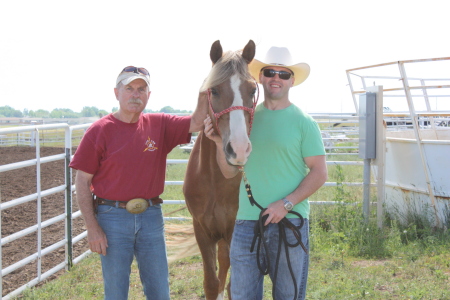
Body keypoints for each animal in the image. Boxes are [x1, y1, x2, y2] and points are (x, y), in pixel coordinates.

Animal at [183, 40, 258, 300]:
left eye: (252, 90)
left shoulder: (235, 231)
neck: (215, 181)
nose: (239, 149)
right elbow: (211, 282)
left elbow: (234, 284)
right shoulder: (202, 230)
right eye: (214, 91)